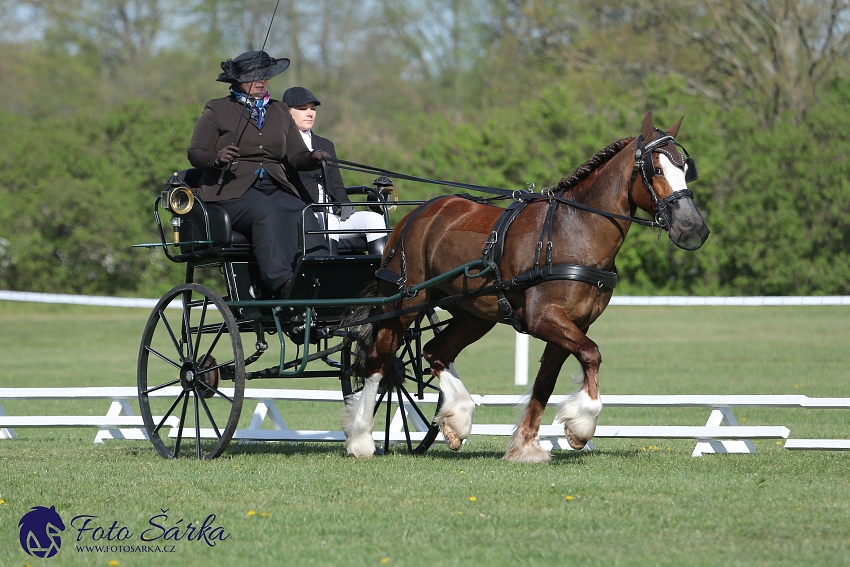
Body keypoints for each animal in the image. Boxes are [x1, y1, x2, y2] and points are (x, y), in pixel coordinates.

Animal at [342, 113, 704, 464]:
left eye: (686, 169)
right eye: (656, 169)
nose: (694, 228)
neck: (573, 231)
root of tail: (416, 215)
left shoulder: (573, 324)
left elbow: (546, 382)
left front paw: (526, 446)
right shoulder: (545, 319)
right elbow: (591, 354)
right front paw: (581, 425)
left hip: (474, 315)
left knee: (435, 352)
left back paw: (457, 419)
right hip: (404, 305)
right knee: (379, 362)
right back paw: (361, 439)